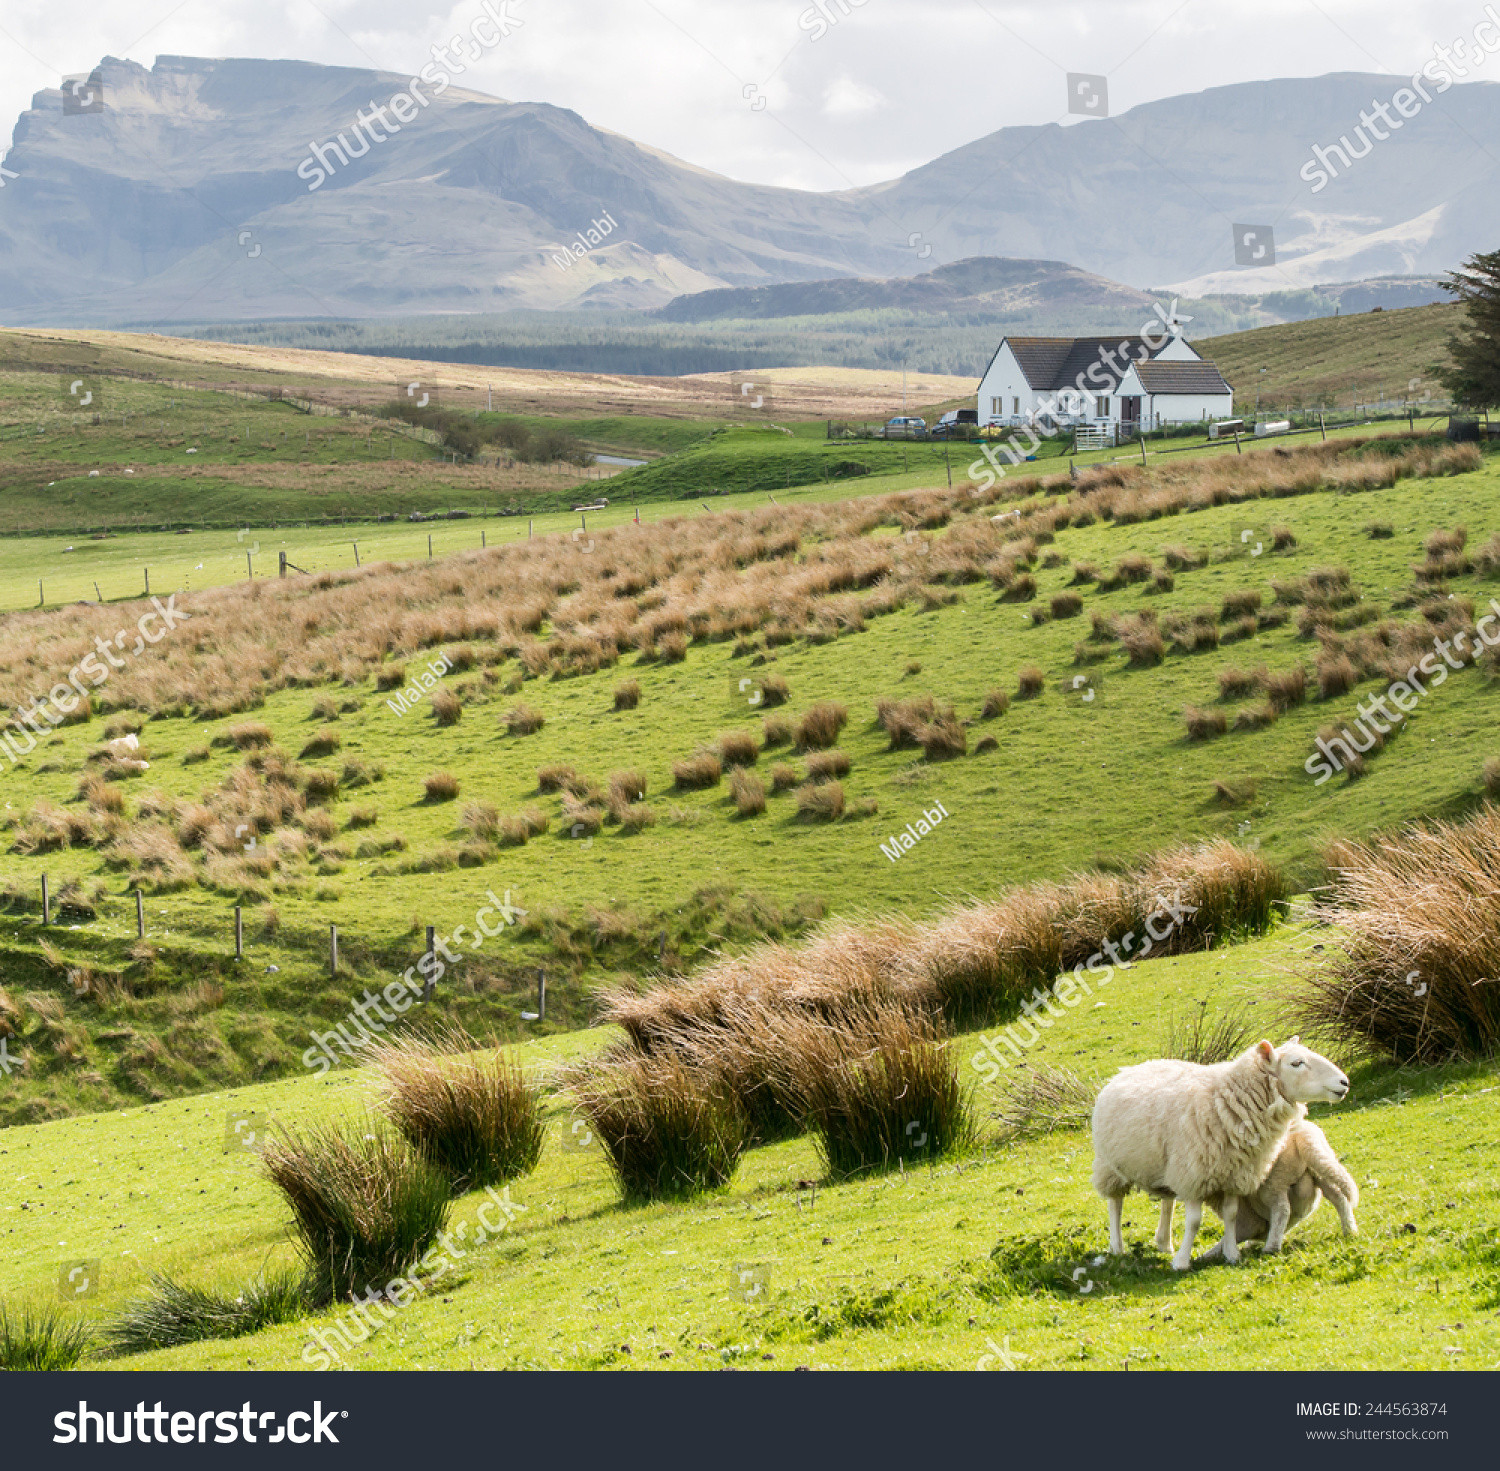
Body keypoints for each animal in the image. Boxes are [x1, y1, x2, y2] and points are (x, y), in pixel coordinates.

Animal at [1194, 1115, 1362, 1265]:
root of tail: (1303, 1137)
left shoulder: (1246, 1221)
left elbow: (1231, 1236)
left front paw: (1207, 1256)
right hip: (1319, 1169)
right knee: (1338, 1196)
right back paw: (1350, 1230)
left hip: (1274, 1182)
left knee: (1282, 1209)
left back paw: (1271, 1247)